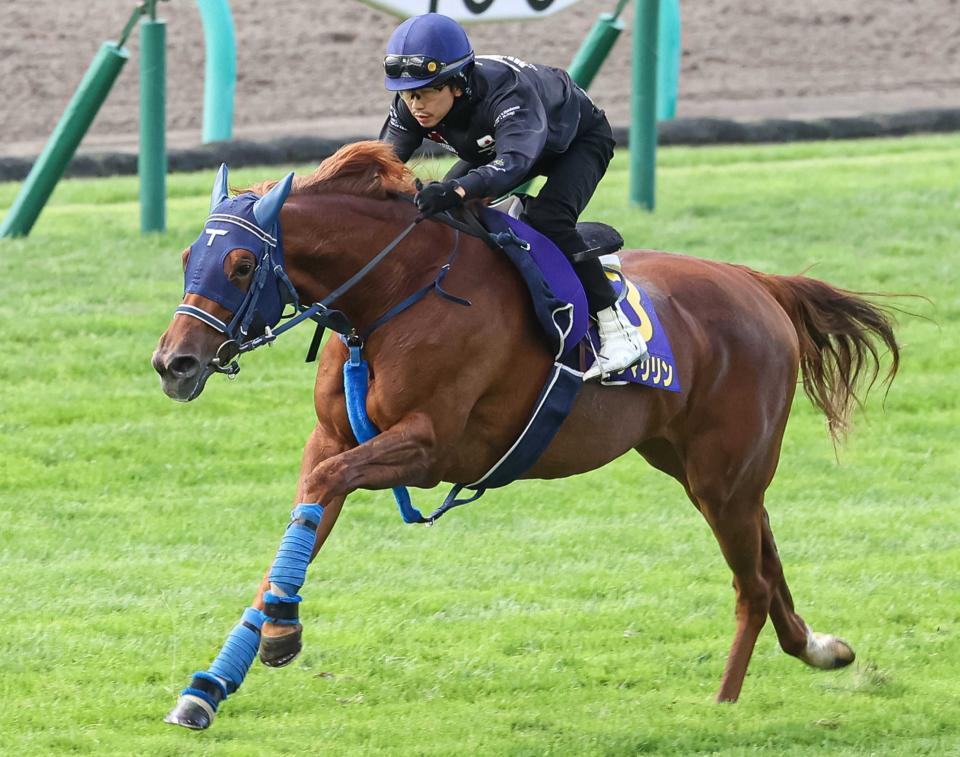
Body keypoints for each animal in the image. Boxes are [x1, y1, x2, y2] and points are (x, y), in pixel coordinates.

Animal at [152, 142, 900, 728]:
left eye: (241, 264)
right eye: (189, 256)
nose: (174, 362)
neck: (396, 290)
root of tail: (756, 282)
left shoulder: (427, 446)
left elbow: (324, 486)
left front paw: (280, 631)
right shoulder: (336, 437)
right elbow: (308, 504)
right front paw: (213, 683)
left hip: (724, 474)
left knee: (751, 582)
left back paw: (723, 703)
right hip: (700, 467)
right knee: (766, 558)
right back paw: (819, 647)